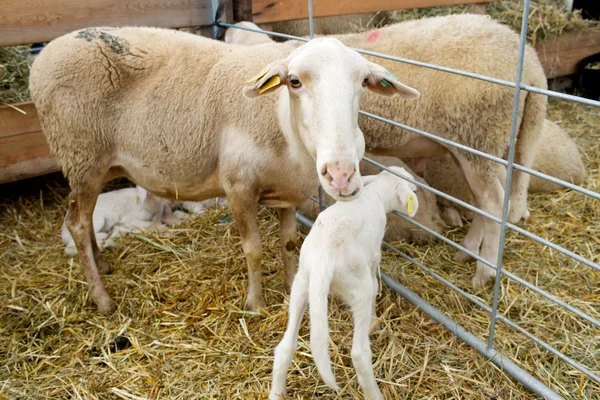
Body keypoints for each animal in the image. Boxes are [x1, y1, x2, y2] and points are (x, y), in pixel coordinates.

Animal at [29, 27, 422, 312]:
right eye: (294, 81)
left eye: (363, 83)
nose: (340, 175)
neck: (283, 124)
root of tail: (46, 53)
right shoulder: (238, 186)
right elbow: (254, 249)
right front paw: (256, 304)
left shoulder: (288, 192)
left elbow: (290, 242)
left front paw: (290, 285)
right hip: (81, 154)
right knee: (78, 224)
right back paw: (103, 299)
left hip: (95, 164)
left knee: (84, 219)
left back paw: (103, 266)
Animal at [270, 166, 420, 400]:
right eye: (411, 188)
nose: (416, 191)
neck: (376, 193)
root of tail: (323, 261)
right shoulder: (373, 256)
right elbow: (375, 283)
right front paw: (375, 321)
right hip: (357, 288)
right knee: (359, 354)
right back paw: (375, 393)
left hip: (301, 283)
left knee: (285, 346)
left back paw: (276, 392)